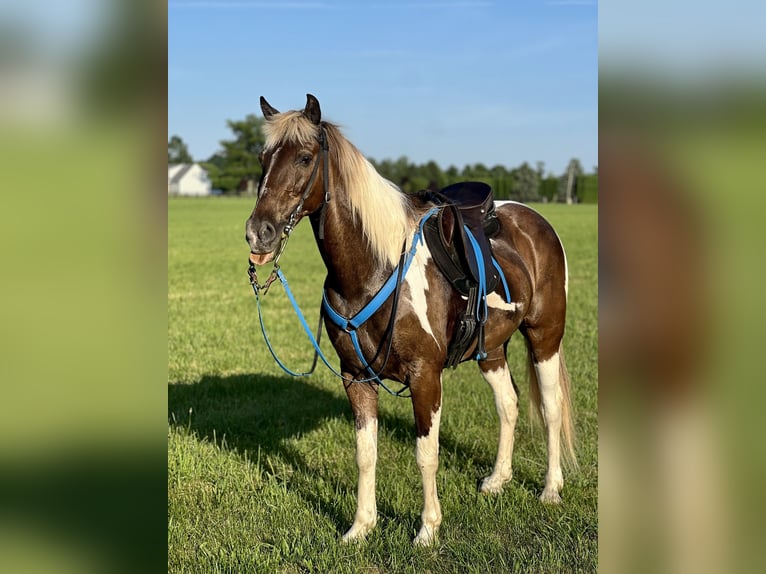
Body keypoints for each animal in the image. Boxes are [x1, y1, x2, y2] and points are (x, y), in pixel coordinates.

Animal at [245, 94, 576, 545]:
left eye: (304, 157)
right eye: (263, 158)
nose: (258, 233)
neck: (373, 270)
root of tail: (536, 221)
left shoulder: (425, 377)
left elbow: (426, 455)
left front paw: (427, 530)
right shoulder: (355, 377)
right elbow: (366, 455)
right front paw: (361, 527)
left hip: (545, 337)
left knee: (552, 408)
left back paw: (551, 489)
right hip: (491, 348)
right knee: (508, 404)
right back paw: (498, 479)